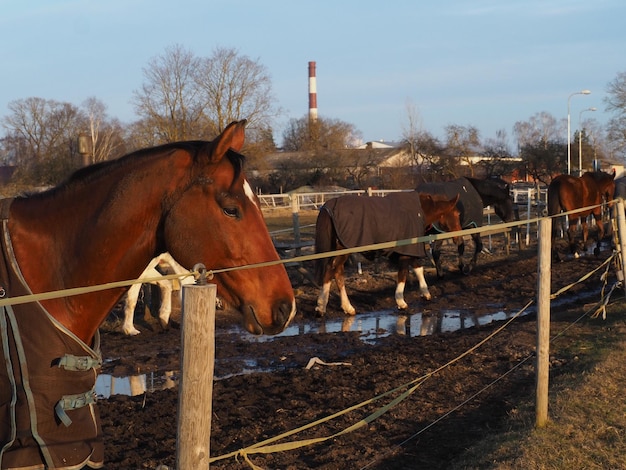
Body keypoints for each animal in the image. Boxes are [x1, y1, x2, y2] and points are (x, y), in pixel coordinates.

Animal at [312, 191, 458, 316]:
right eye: (457, 215)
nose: (458, 238)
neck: (420, 211)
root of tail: (330, 206)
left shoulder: (406, 251)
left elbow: (418, 268)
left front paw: (425, 293)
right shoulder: (405, 252)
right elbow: (403, 274)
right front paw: (401, 301)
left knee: (337, 272)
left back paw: (347, 307)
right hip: (342, 250)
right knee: (331, 269)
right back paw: (321, 306)